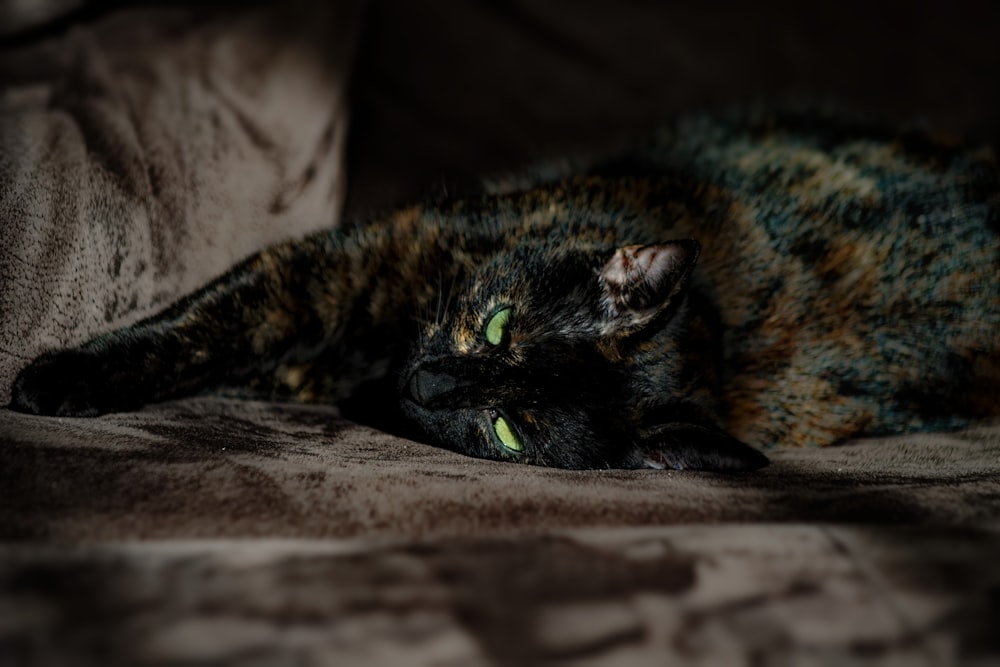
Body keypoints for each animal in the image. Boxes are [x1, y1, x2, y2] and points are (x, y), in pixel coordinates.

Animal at [7, 107, 1000, 472]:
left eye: (510, 429)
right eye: (496, 325)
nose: (428, 383)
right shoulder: (348, 258)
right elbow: (209, 320)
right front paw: (68, 375)